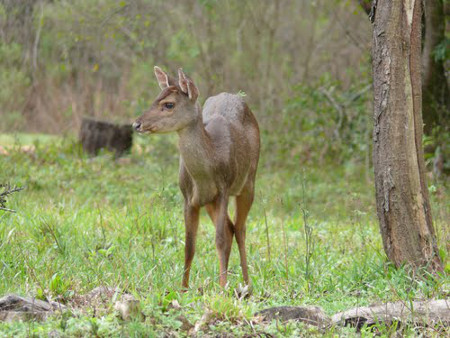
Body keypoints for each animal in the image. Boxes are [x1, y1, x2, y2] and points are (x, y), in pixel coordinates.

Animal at [132, 66, 260, 288]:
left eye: (169, 104)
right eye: (156, 97)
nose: (136, 124)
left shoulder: (224, 188)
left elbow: (219, 240)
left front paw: (222, 289)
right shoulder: (189, 198)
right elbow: (189, 245)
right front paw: (183, 288)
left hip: (248, 182)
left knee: (240, 229)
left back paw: (246, 284)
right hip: (209, 201)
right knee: (231, 228)